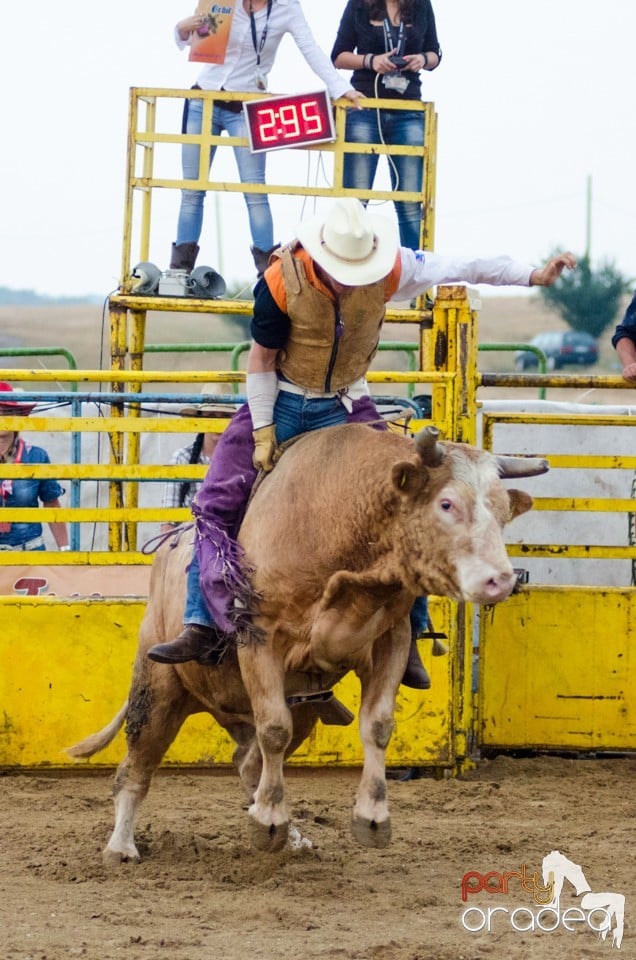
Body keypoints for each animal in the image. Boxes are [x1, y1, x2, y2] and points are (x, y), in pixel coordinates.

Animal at [68, 424, 548, 860]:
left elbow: (377, 725)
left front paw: (371, 817)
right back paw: (122, 846)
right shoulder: (260, 639)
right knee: (136, 767)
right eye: (447, 503)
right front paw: (268, 822)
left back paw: (290, 835)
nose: (500, 580)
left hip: (300, 708)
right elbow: (273, 729)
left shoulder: (391, 641)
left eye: (504, 511)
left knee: (250, 762)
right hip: (159, 687)